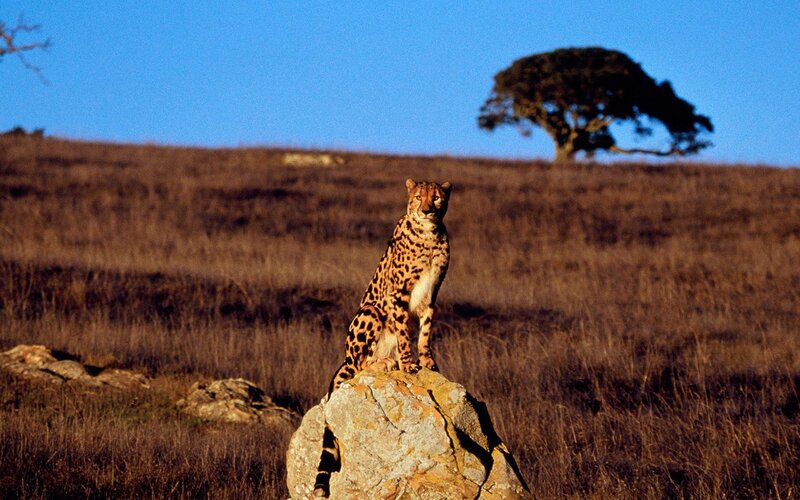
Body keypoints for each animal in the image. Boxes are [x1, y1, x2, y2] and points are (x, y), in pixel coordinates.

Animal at [313, 178, 453, 497]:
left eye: (437, 197)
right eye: (418, 197)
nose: (427, 210)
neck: (430, 236)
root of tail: (344, 358)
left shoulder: (432, 295)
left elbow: (424, 332)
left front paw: (427, 361)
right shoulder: (397, 295)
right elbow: (403, 332)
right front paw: (408, 363)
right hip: (370, 312)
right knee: (359, 365)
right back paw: (385, 363)